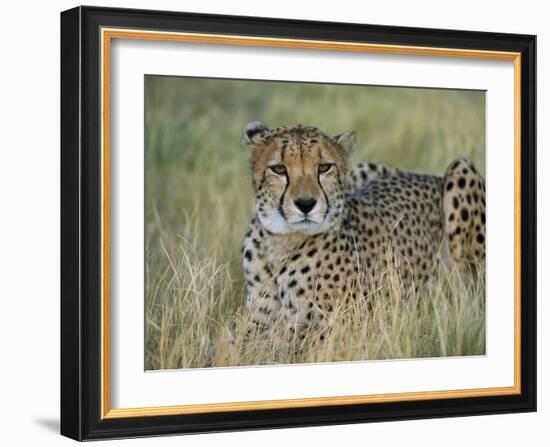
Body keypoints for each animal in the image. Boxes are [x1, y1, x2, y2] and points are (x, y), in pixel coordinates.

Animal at [243, 121, 488, 328]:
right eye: (279, 169)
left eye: (324, 167)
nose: (305, 204)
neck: (282, 241)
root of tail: (428, 176)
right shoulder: (258, 323)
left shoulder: (335, 328)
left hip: (461, 169)